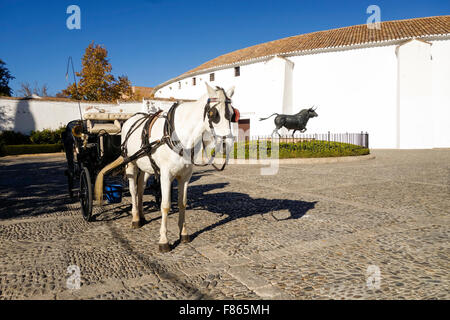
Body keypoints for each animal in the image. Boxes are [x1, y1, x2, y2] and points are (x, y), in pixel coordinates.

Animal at [121, 82, 237, 252]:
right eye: (213, 113)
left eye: (232, 113)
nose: (227, 143)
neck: (179, 135)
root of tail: (132, 119)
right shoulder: (165, 175)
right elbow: (165, 205)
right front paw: (163, 240)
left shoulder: (185, 176)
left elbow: (182, 203)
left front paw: (183, 234)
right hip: (131, 163)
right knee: (133, 190)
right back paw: (135, 218)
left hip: (145, 167)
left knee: (141, 188)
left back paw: (141, 216)